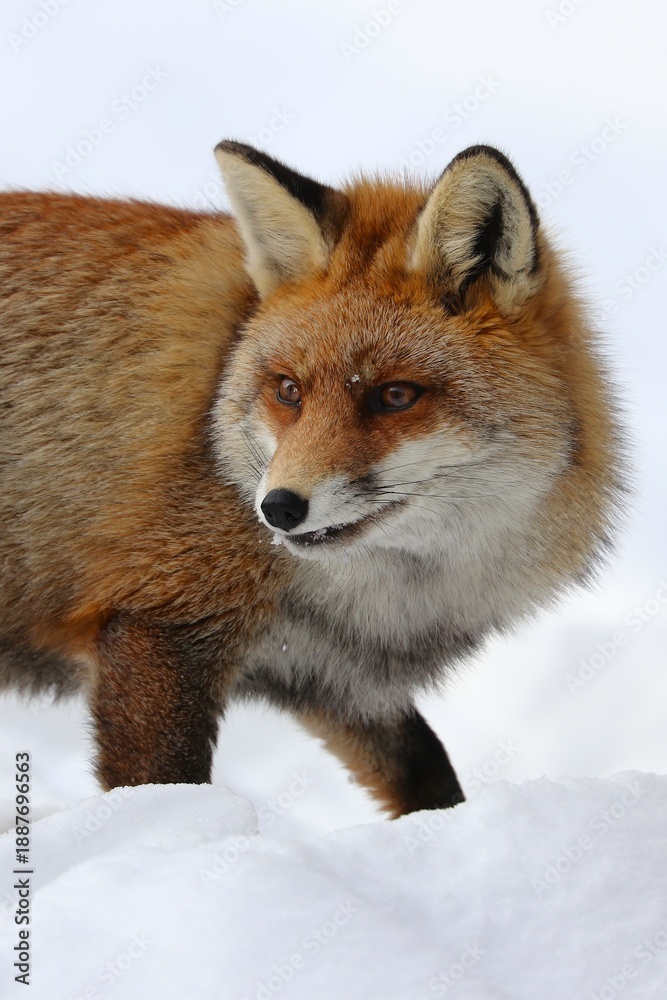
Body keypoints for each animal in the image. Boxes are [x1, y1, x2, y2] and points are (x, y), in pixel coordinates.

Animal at [0, 141, 622, 817]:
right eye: (288, 391)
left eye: (395, 395)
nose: (278, 507)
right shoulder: (159, 623)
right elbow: (165, 789)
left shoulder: (334, 676)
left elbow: (430, 775)